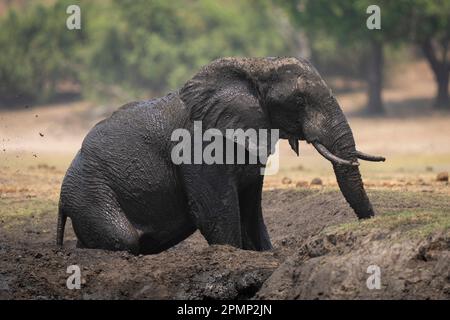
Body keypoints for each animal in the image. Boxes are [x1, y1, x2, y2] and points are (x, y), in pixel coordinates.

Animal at [57, 56, 384, 254]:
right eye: (300, 101)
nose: (368, 222)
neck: (256, 67)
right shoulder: (200, 145)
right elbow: (212, 210)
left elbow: (251, 208)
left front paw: (265, 254)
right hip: (90, 193)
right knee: (124, 238)